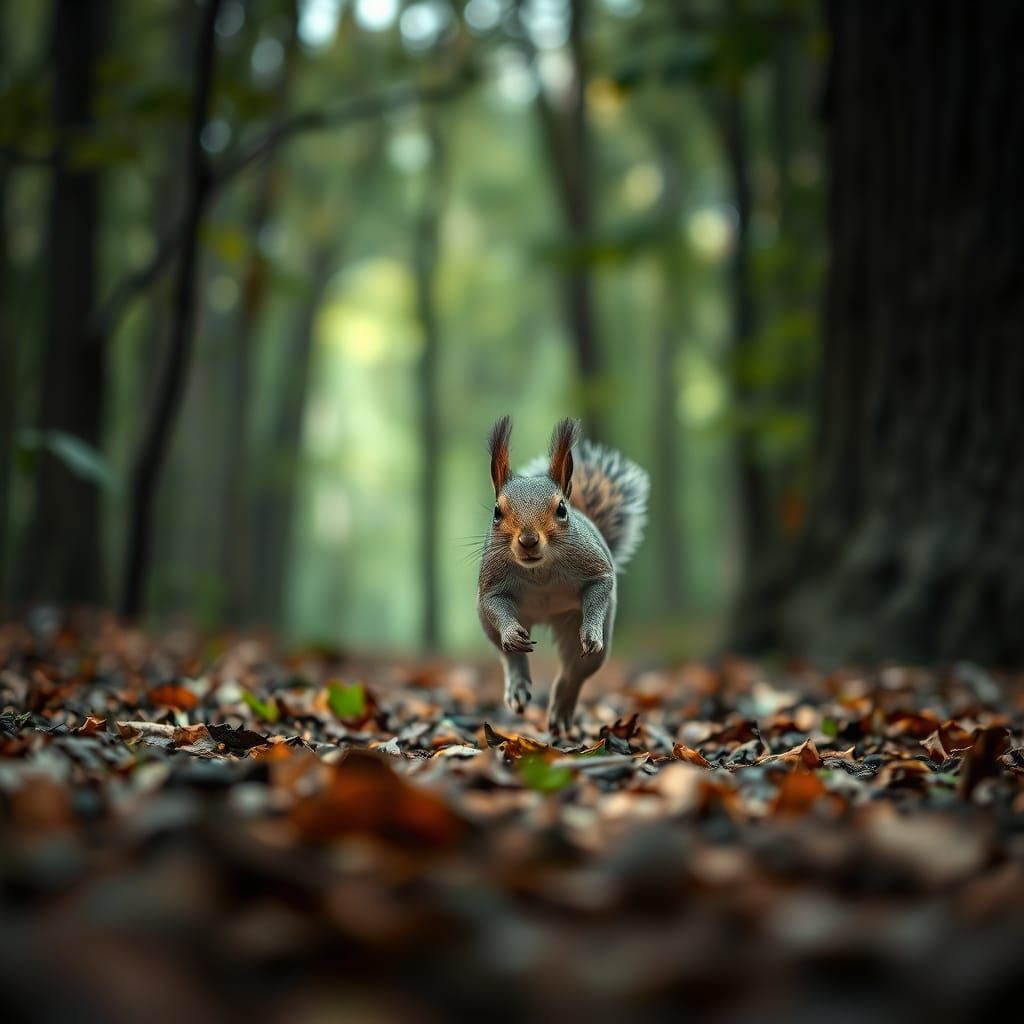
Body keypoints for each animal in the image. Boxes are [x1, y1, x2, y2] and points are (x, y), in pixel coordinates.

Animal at [477, 415, 650, 734]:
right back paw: (518, 685)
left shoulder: (594, 565)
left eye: (561, 509)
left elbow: (601, 584)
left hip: (576, 628)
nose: (529, 540)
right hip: (494, 627)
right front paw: (511, 633)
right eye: (496, 511)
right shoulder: (492, 581)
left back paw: (560, 711)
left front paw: (591, 632)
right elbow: (493, 602)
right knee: (510, 657)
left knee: (575, 674)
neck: (539, 570)